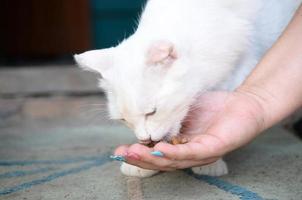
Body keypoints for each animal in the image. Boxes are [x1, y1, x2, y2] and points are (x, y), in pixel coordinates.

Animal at [74, 0, 300, 178]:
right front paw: (142, 166)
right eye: (123, 120)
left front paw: (211, 163)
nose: (145, 139)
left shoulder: (243, 66)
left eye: (152, 112)